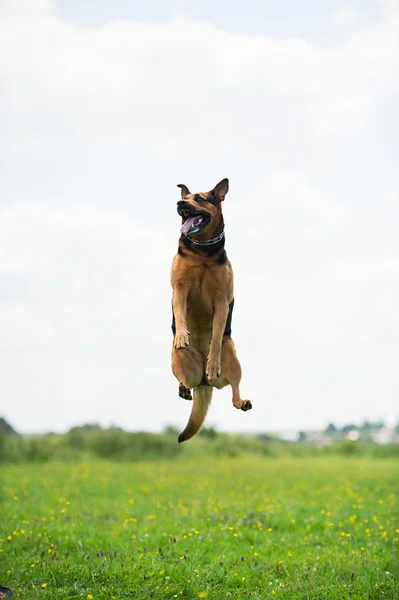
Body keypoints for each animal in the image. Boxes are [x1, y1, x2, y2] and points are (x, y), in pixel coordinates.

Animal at [170, 176, 252, 442]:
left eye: (199, 199)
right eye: (185, 198)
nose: (180, 203)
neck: (202, 250)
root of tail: (204, 383)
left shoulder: (221, 301)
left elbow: (215, 337)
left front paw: (213, 362)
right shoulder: (180, 289)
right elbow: (180, 314)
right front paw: (182, 335)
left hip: (234, 359)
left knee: (235, 393)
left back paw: (241, 400)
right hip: (176, 360)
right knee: (182, 380)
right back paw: (184, 388)